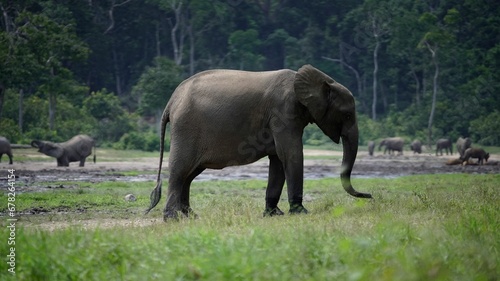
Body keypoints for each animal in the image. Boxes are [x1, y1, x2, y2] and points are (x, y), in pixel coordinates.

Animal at [145, 64, 372, 220]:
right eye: (347, 115)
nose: (369, 196)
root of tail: (171, 101)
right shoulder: (283, 113)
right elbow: (291, 154)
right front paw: (301, 213)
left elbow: (279, 160)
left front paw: (274, 214)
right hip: (186, 128)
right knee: (180, 171)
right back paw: (173, 219)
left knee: (189, 174)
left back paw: (191, 216)